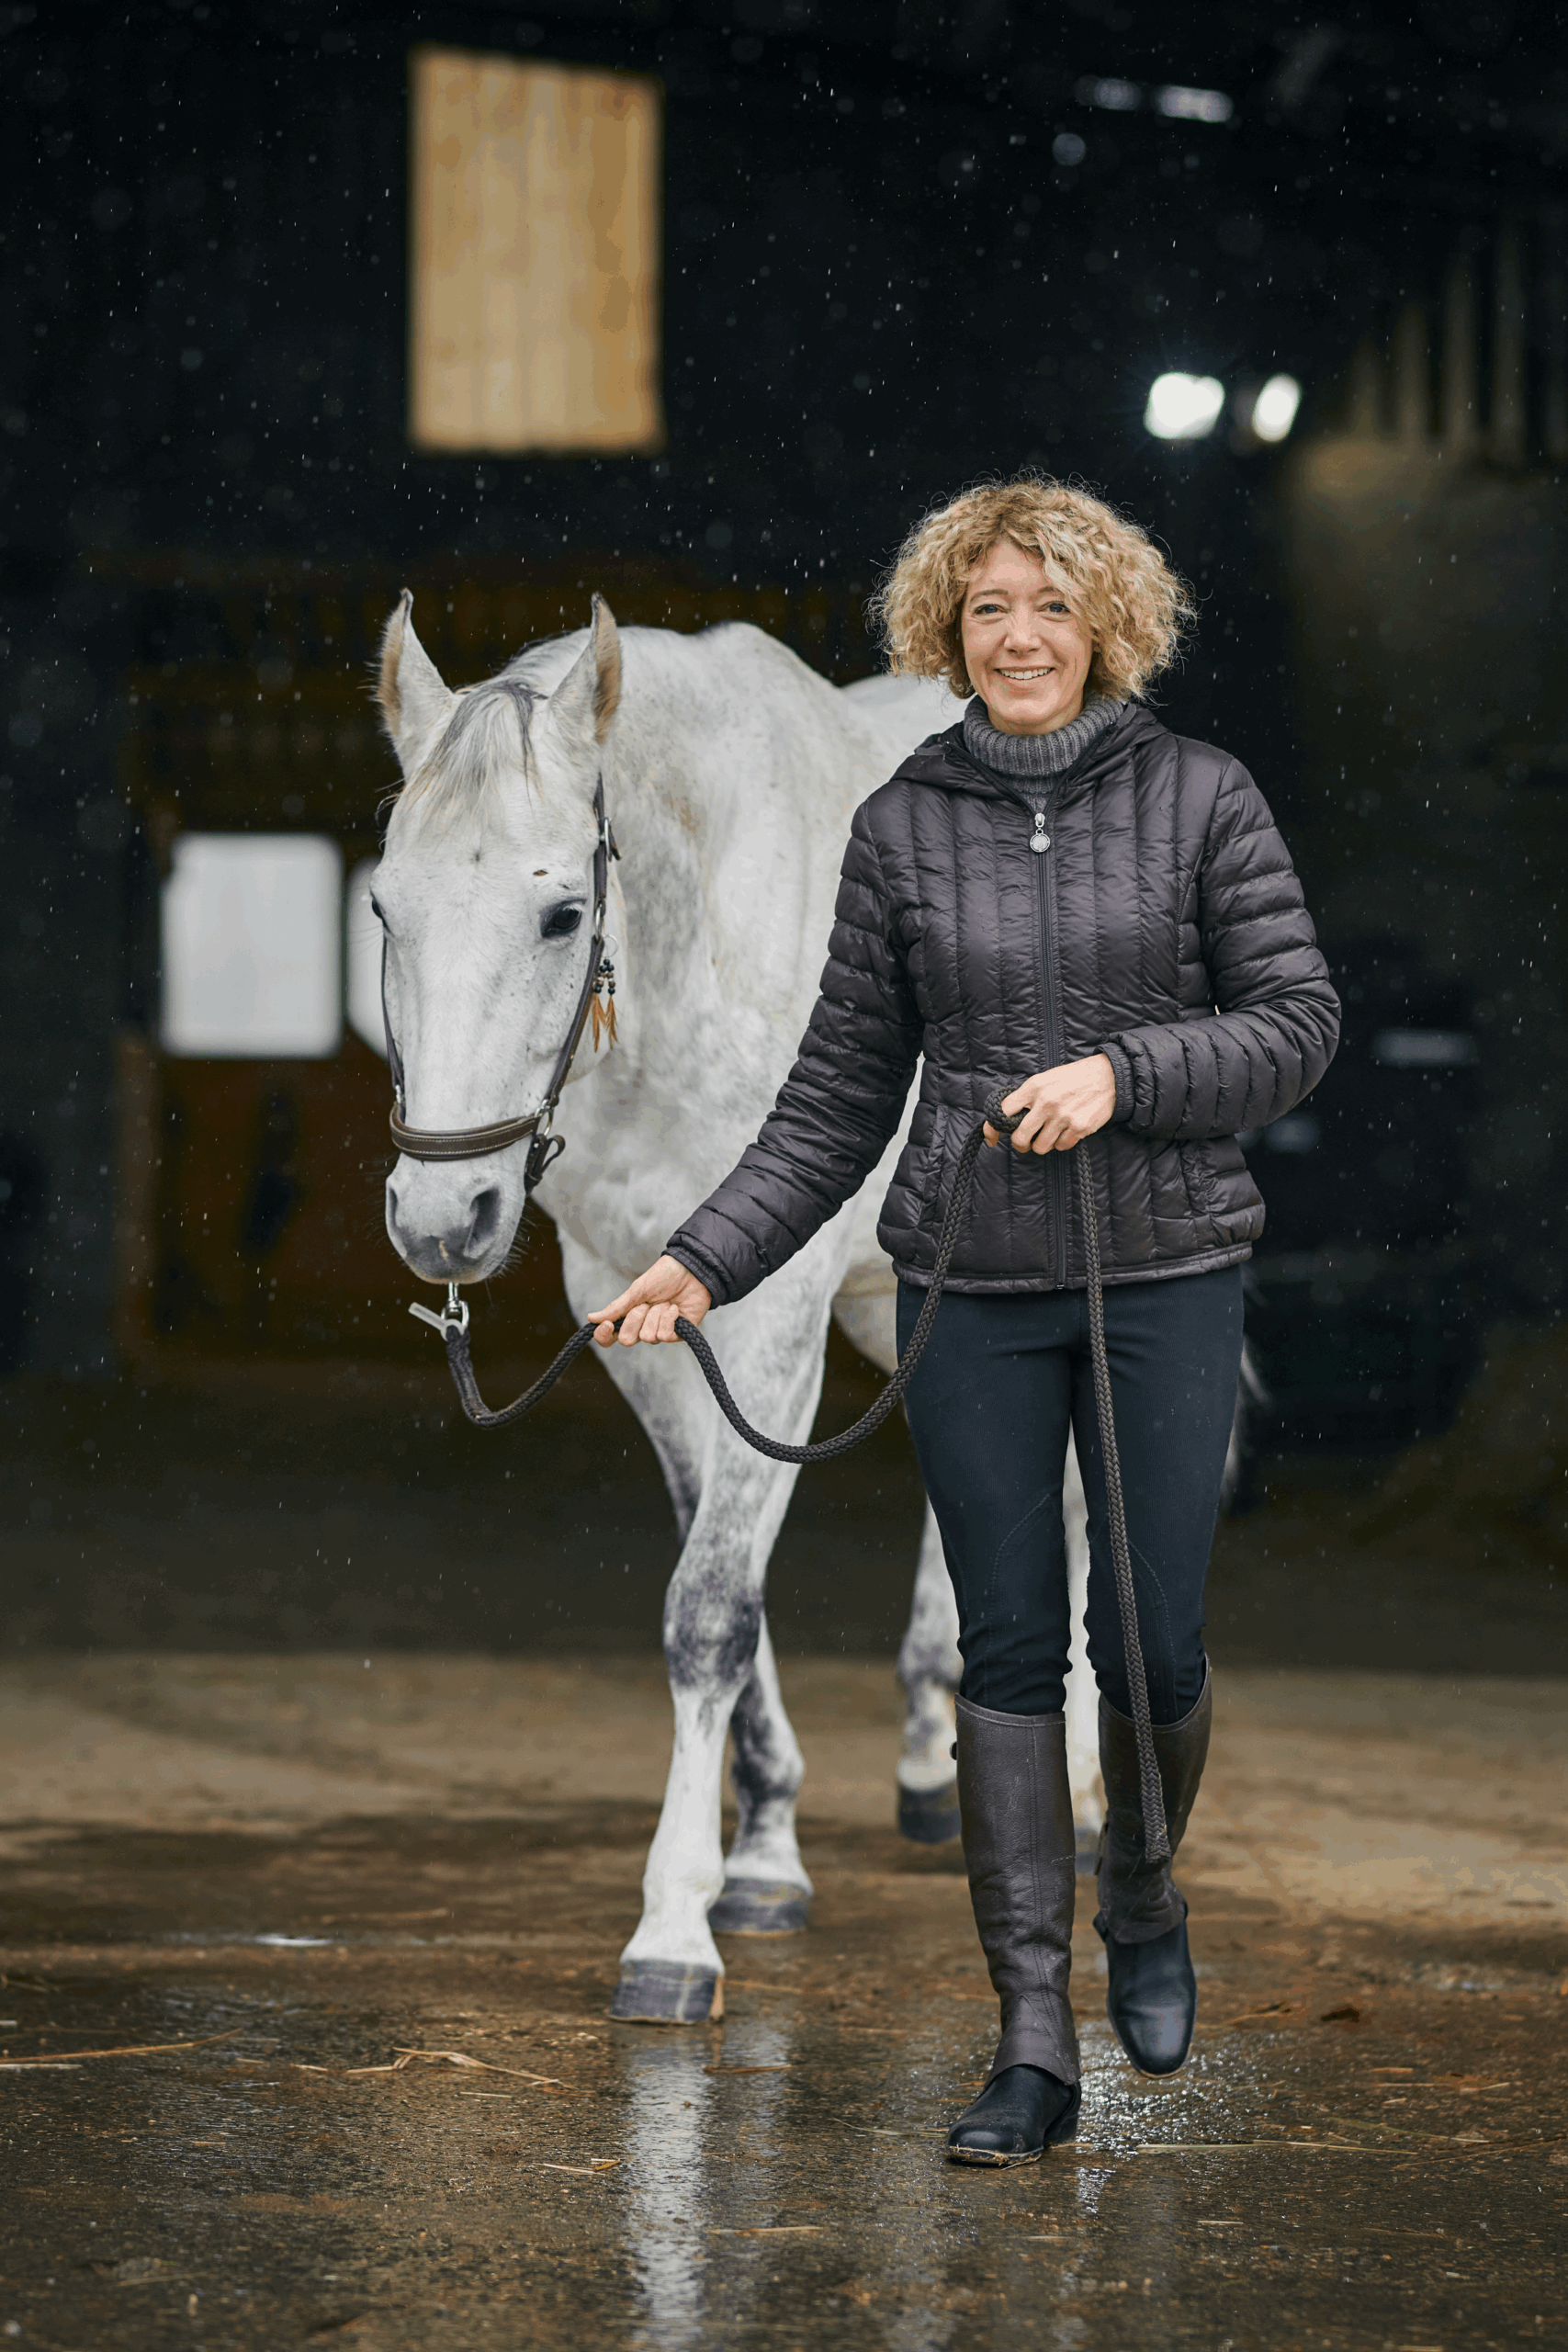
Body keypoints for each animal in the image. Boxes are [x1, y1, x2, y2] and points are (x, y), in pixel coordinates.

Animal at [371, 593, 1106, 2023]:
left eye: (560, 916)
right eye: (383, 905)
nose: (444, 1219)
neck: (696, 949)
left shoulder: (773, 1325)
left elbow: (708, 1606)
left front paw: (671, 1928)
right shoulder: (641, 1315)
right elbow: (724, 1568)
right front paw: (761, 1855)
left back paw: (1098, 1787)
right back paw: (932, 1752)